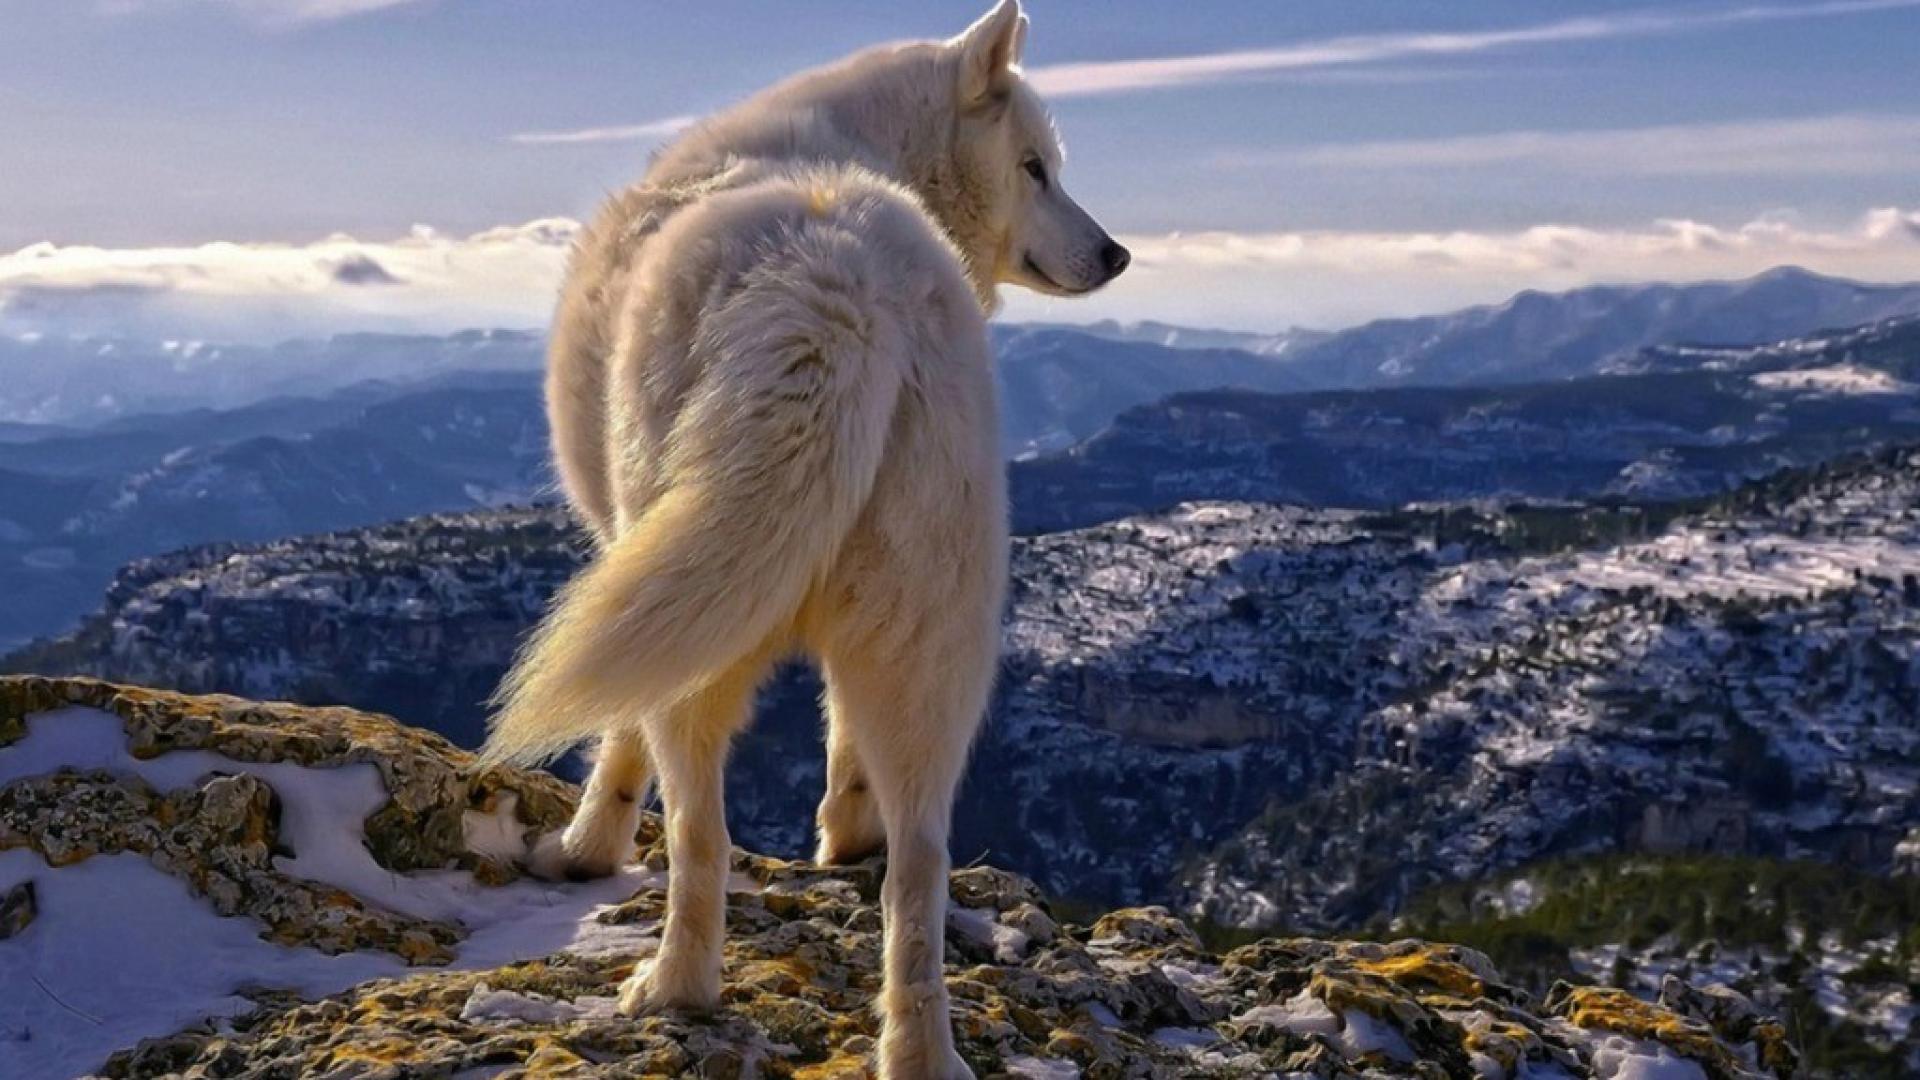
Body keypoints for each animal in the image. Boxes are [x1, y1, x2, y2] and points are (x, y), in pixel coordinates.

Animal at [481, 2, 1125, 1075]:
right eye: (1036, 167)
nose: (1117, 254)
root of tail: (839, 287)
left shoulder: (637, 560)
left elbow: (618, 743)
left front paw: (584, 851)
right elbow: (841, 747)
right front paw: (846, 833)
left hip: (705, 621)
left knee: (700, 834)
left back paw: (673, 988)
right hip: (929, 640)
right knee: (920, 864)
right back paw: (917, 1047)